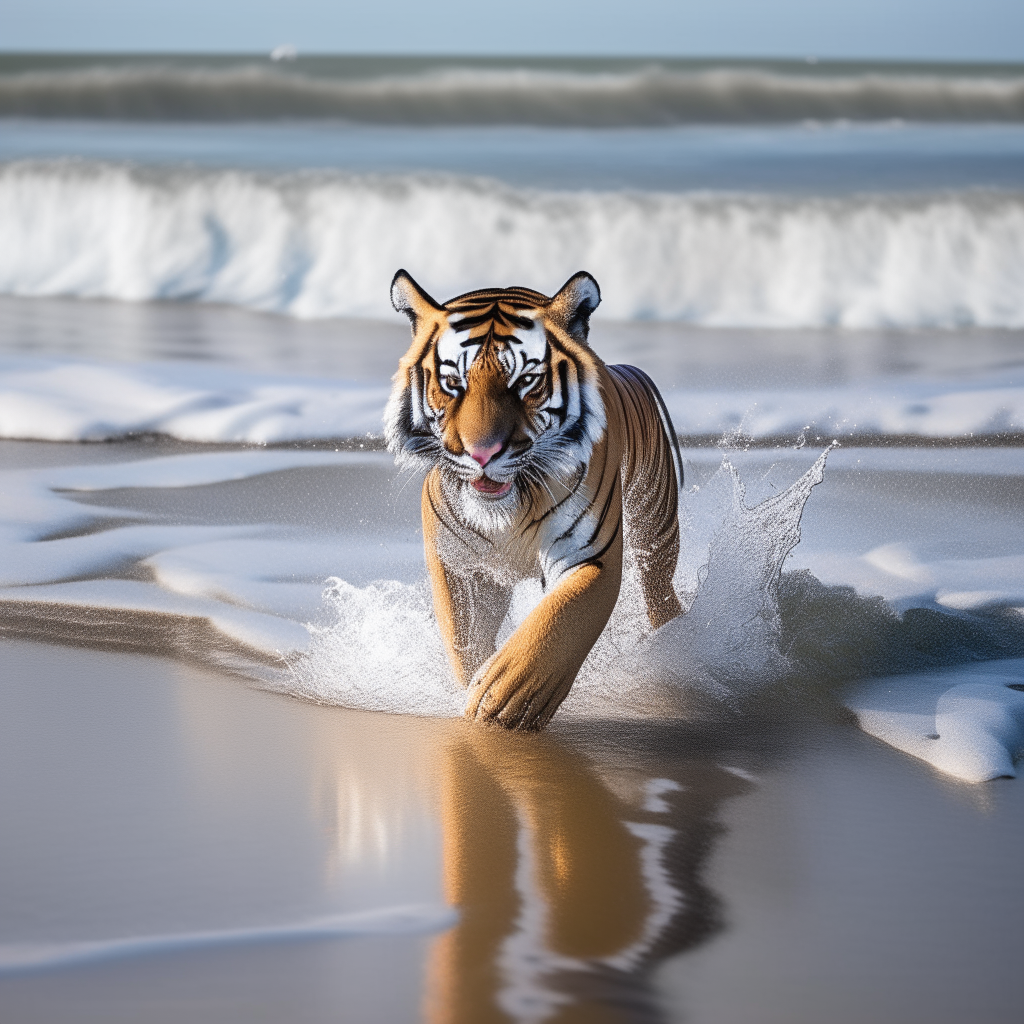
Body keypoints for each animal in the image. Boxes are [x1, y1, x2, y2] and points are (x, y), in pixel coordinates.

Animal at [387, 270, 684, 729]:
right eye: (453, 383)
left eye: (525, 381)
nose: (482, 453)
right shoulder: (460, 564)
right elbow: (464, 637)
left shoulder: (588, 555)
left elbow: (558, 622)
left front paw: (504, 696)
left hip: (656, 522)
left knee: (660, 589)